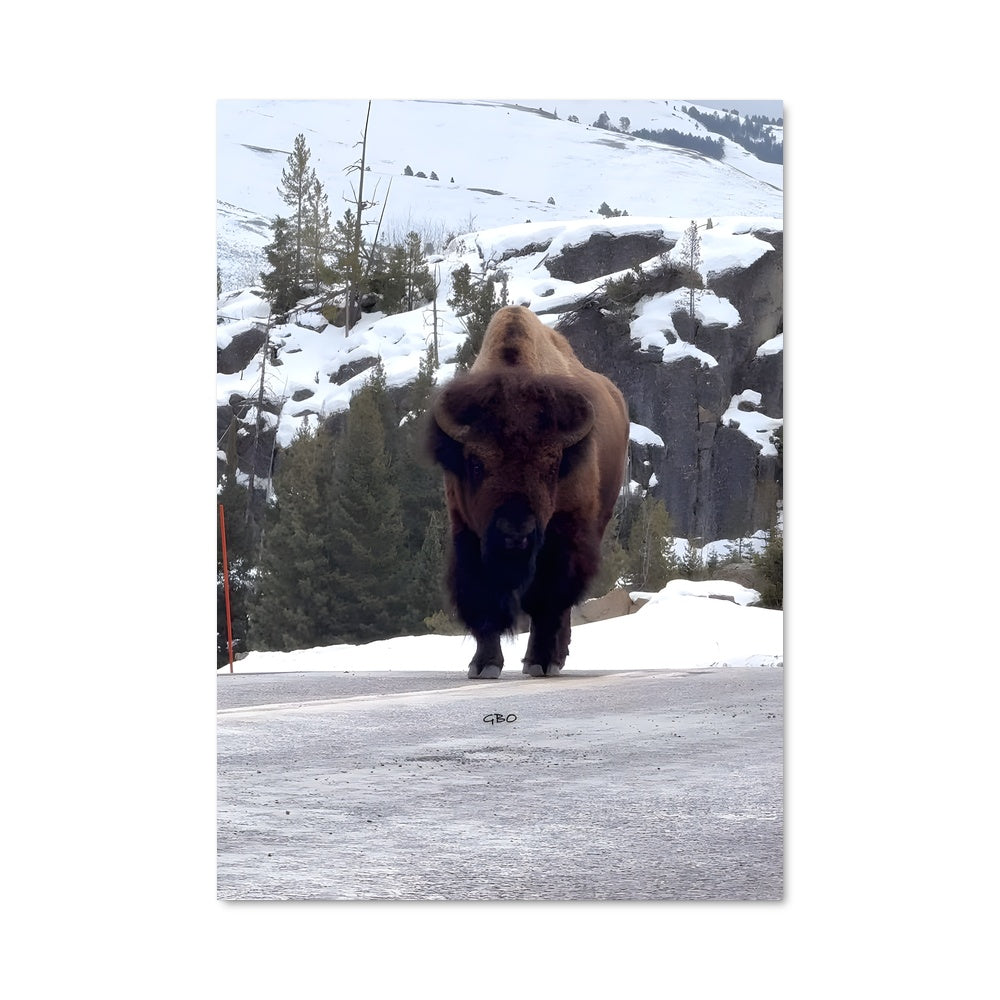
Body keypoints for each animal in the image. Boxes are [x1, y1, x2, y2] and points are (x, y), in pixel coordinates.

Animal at [428, 305, 629, 678]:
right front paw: (484, 665)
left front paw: (540, 660)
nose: (515, 532)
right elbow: (483, 597)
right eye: (476, 463)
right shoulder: (467, 529)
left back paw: (554, 657)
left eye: (551, 466)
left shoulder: (562, 534)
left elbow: (548, 600)